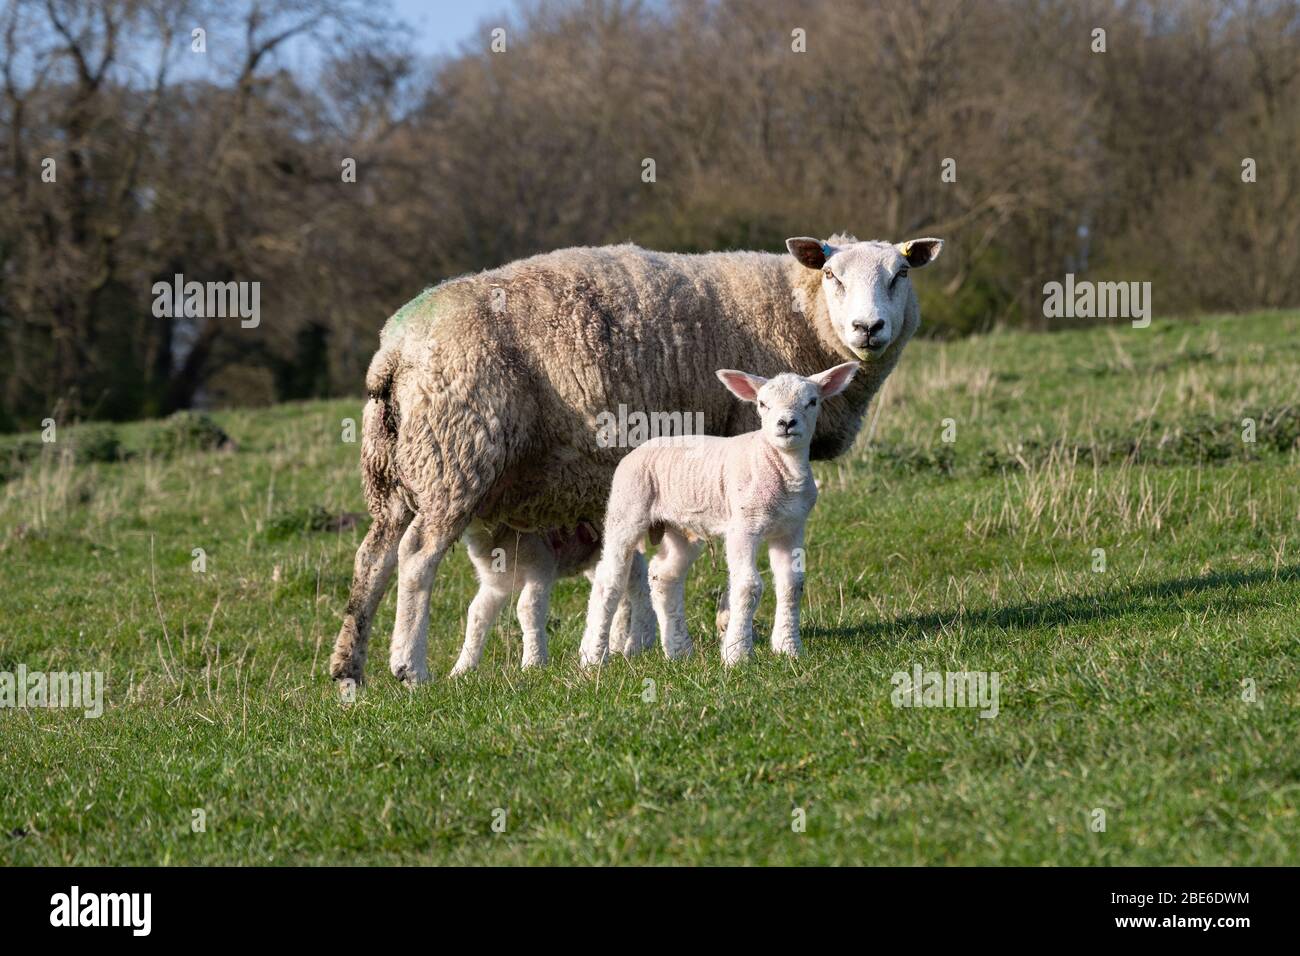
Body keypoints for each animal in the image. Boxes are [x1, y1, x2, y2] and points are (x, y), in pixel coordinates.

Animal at [582, 361, 863, 671]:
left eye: (812, 402)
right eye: (762, 404)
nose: (786, 423)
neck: (779, 465)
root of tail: (637, 450)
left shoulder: (791, 527)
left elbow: (792, 584)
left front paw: (789, 649)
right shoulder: (743, 525)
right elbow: (748, 586)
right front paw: (737, 655)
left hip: (681, 526)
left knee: (664, 575)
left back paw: (678, 650)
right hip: (628, 506)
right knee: (609, 578)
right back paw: (592, 658)